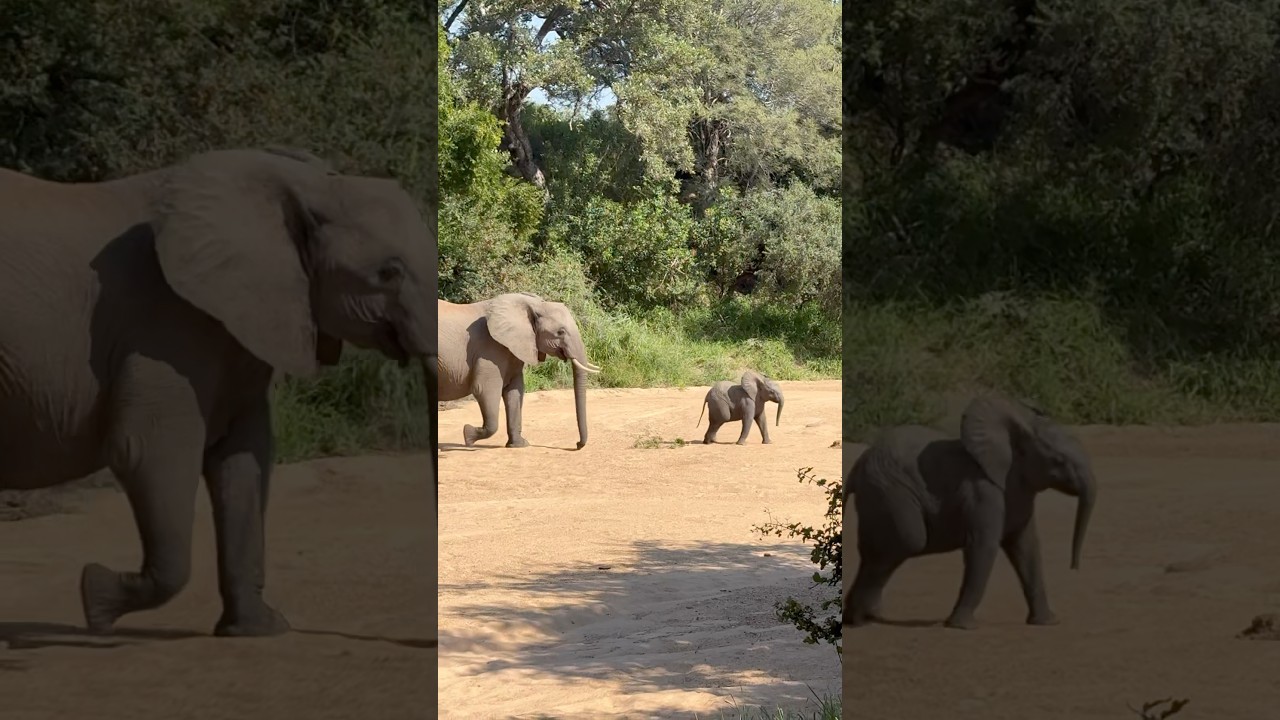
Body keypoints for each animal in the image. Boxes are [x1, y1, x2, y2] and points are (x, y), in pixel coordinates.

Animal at [0, 146, 437, 637]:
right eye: (388, 272)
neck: (307, 184)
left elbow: (244, 457)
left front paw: (259, 630)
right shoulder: (163, 324)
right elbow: (145, 449)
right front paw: (95, 600)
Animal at [438, 292, 600, 449]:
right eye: (561, 332)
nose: (577, 444)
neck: (533, 305)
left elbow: (515, 391)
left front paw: (519, 445)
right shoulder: (489, 350)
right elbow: (483, 389)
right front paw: (468, 436)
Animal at [843, 394, 1096, 630]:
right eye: (1059, 461)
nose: (1074, 567)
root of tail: (857, 466)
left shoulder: (1019, 494)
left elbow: (1027, 548)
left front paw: (1048, 622)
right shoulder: (981, 492)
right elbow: (984, 545)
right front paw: (961, 626)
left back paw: (862, 617)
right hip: (887, 490)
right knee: (907, 542)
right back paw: (858, 620)